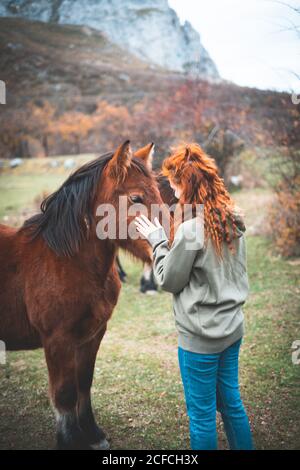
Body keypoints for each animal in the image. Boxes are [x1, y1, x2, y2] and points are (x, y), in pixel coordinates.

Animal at [0, 141, 163, 450]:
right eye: (136, 198)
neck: (68, 261)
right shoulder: (58, 341)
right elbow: (64, 395)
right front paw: (69, 440)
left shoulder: (92, 335)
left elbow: (83, 384)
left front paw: (92, 434)